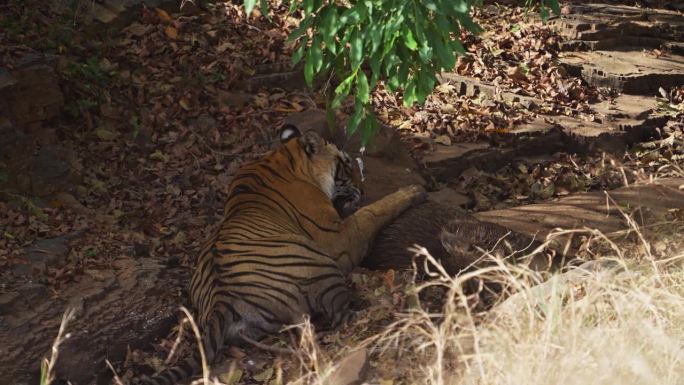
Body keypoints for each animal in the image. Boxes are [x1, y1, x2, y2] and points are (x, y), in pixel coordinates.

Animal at [139, 124, 424, 382]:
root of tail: (221, 299)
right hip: (319, 265)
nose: (362, 189)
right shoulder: (340, 237)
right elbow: (372, 212)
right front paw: (412, 191)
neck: (281, 159)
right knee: (342, 318)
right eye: (345, 163)